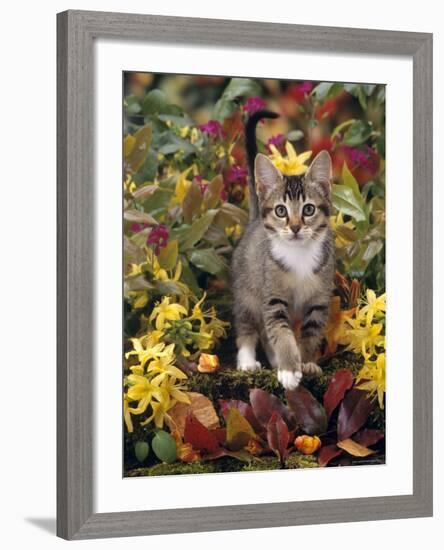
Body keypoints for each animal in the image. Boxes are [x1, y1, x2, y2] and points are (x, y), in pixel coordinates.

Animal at [232, 110, 332, 390]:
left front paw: (305, 362)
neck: (299, 254)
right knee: (248, 327)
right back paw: (247, 361)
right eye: (280, 211)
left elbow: (309, 334)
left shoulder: (319, 301)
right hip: (247, 291)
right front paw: (289, 369)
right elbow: (281, 331)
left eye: (308, 209)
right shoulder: (272, 297)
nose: (296, 227)